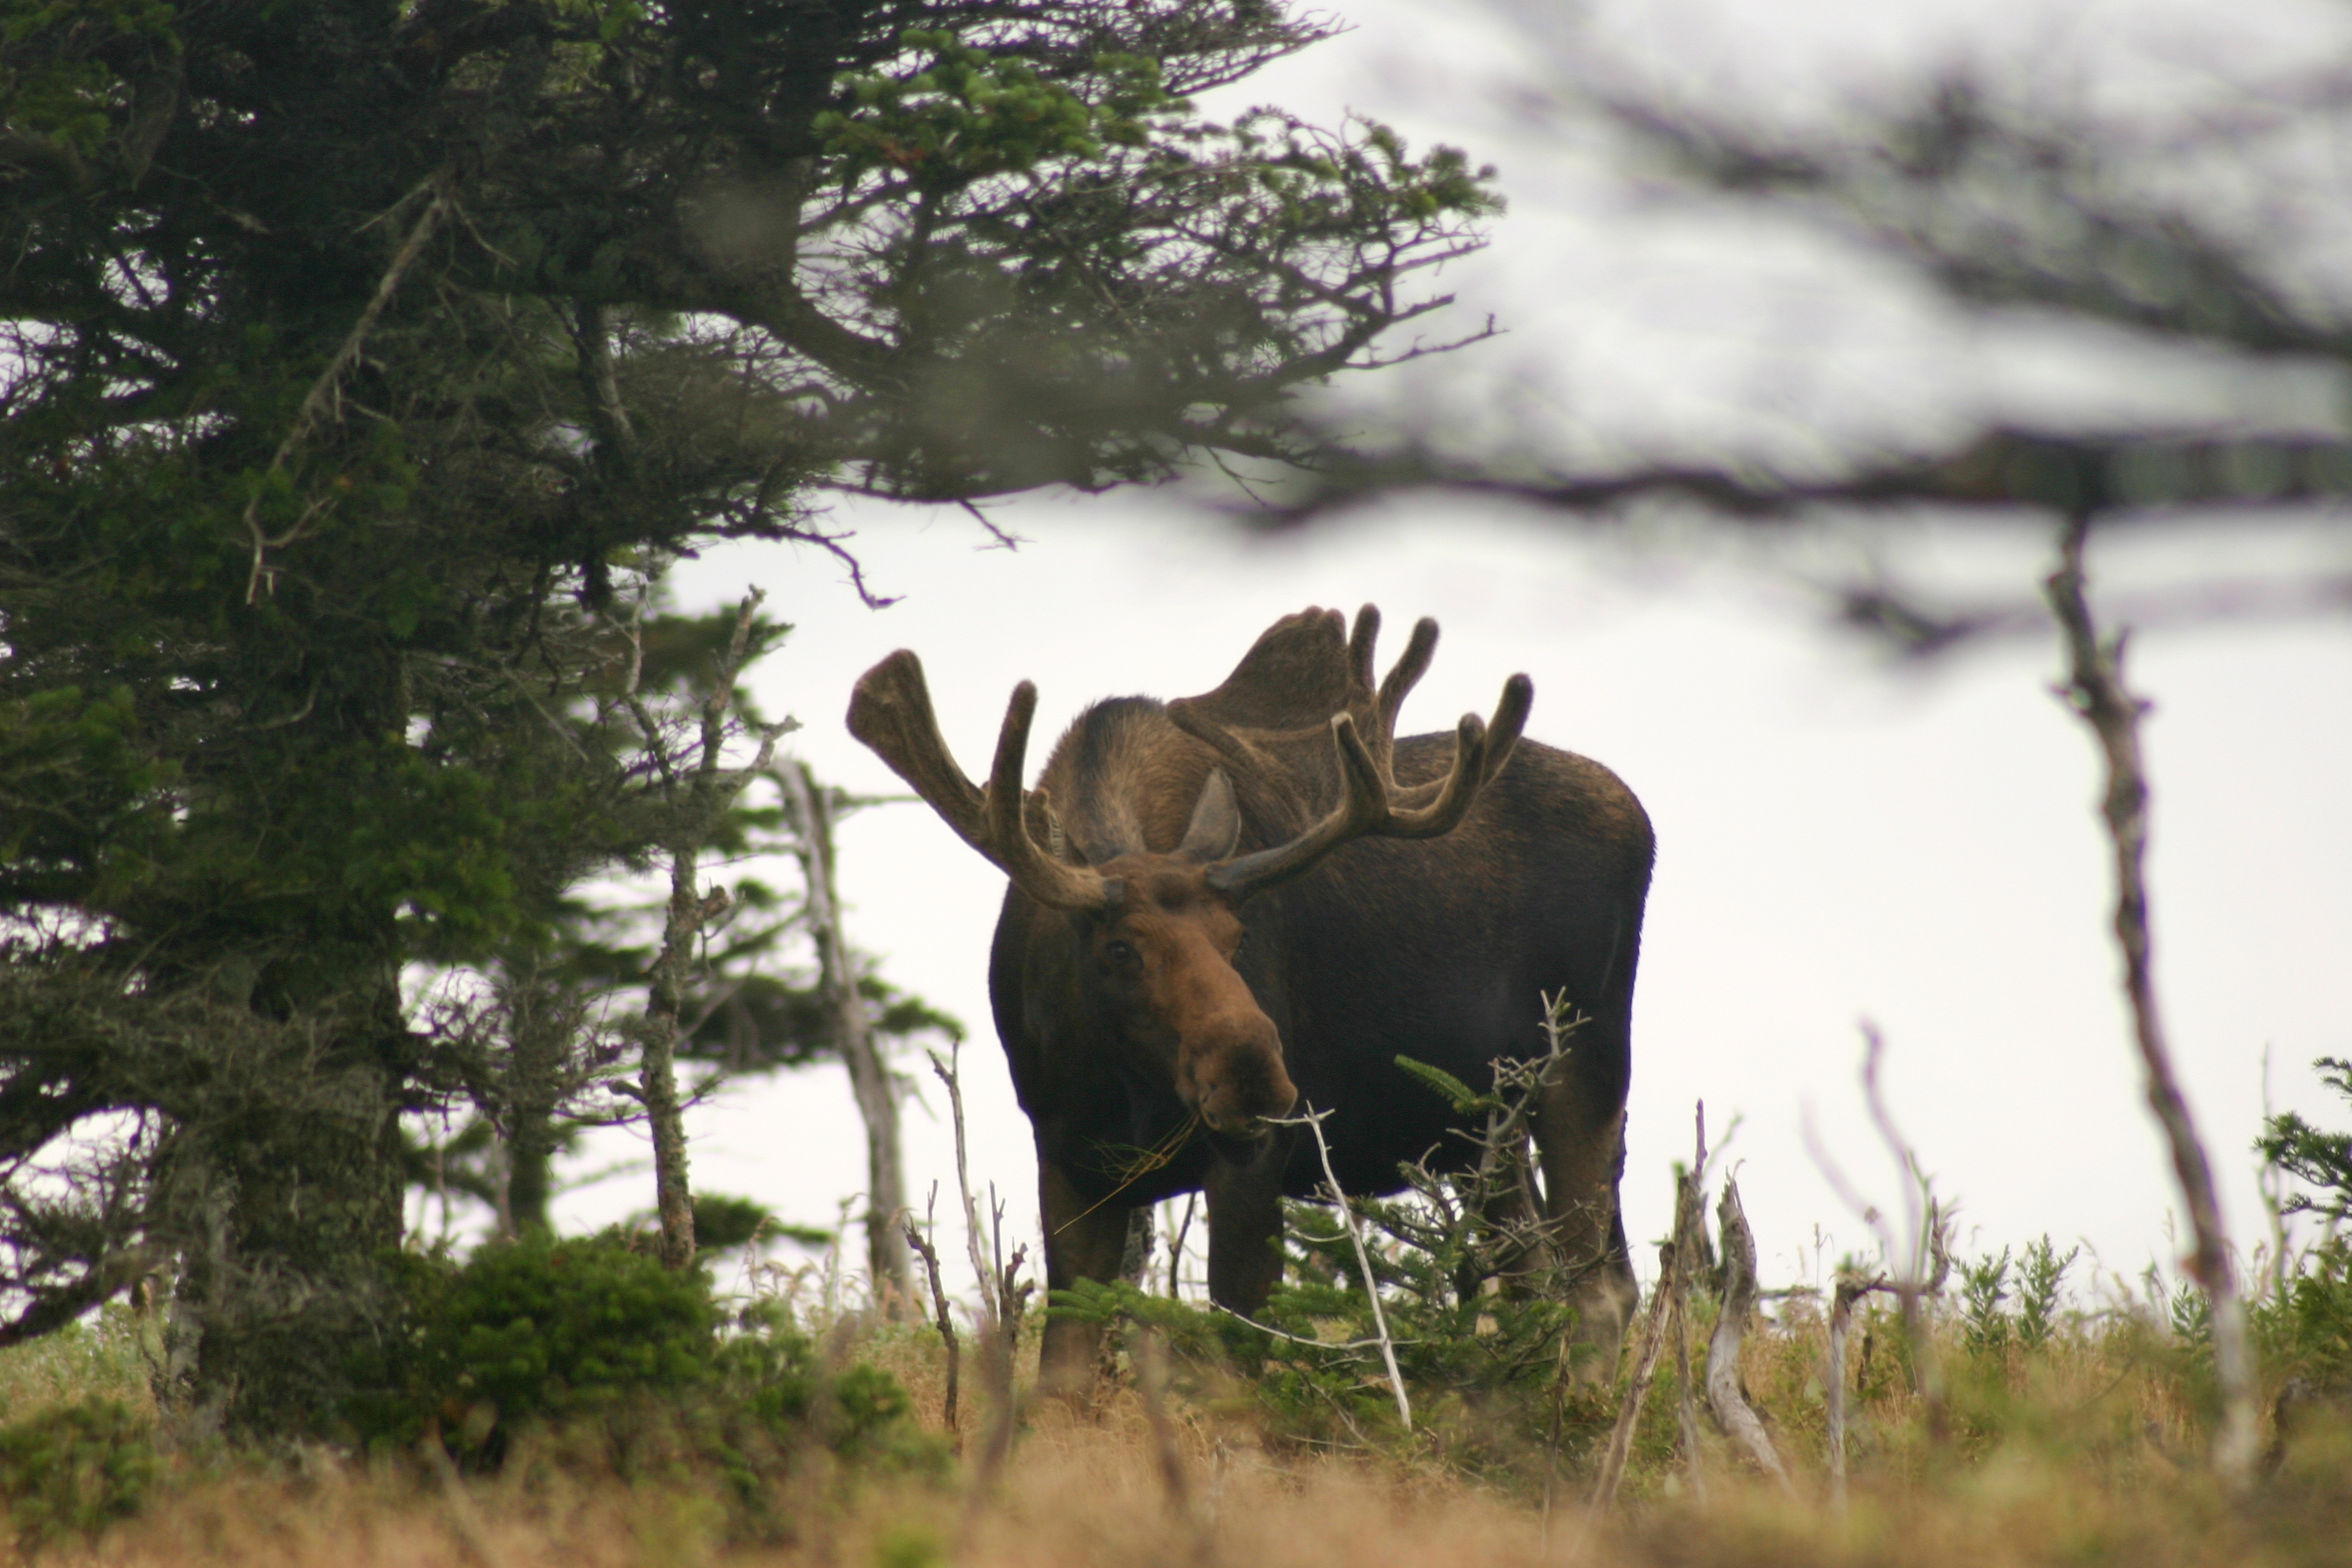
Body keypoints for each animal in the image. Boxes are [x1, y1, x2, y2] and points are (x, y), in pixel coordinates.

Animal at [851, 606, 1655, 1391]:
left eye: (1239, 935)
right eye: (1121, 950)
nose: (1255, 1078)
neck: (1119, 1084)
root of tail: (1639, 818)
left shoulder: (1251, 1159)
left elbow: (1237, 1364)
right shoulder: (1068, 1156)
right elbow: (1065, 1374)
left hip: (1585, 1059)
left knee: (1600, 1289)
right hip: (1482, 1122)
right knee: (1537, 1277)